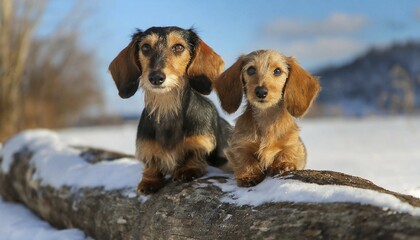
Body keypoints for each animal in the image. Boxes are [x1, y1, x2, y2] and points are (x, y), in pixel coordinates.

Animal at [215, 49, 320, 187]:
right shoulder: (239, 146)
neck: (266, 117)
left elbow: (288, 152)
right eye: (251, 70)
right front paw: (249, 175)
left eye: (278, 71)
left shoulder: (294, 144)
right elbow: (245, 158)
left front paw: (282, 164)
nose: (261, 91)